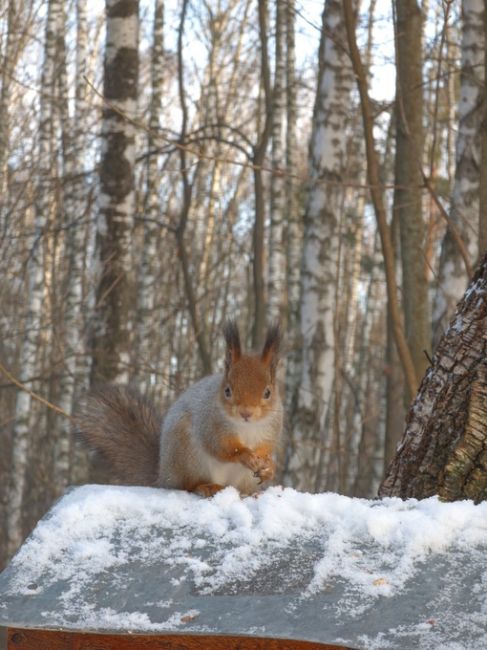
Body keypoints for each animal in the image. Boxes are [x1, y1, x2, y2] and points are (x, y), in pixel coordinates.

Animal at [77, 320, 284, 496]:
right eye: (227, 391)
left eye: (268, 392)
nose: (246, 413)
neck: (246, 427)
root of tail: (163, 475)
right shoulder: (210, 424)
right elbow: (222, 447)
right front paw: (246, 456)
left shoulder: (271, 430)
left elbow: (266, 449)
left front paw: (269, 467)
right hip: (187, 456)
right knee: (188, 485)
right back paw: (207, 486)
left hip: (241, 477)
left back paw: (252, 493)